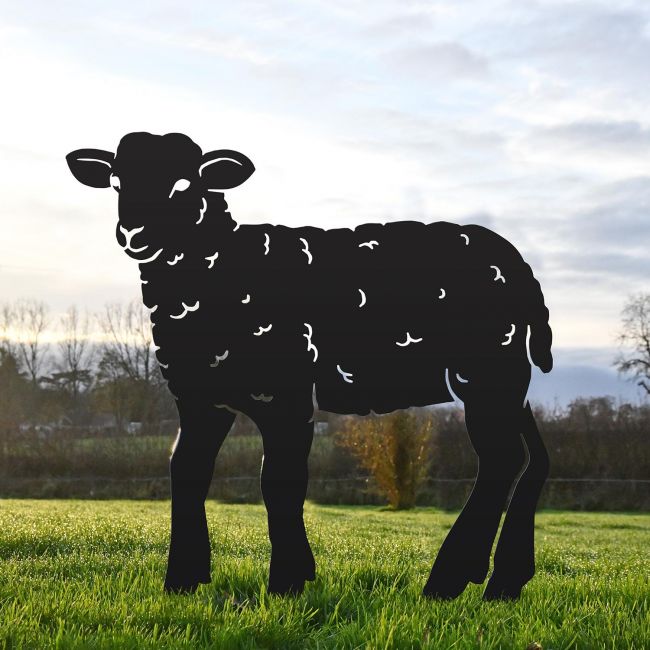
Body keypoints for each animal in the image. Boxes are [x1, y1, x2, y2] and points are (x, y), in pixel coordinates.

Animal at [66, 131, 553, 601]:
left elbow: (278, 480)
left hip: (489, 370)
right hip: (510, 379)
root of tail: (520, 266)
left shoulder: (286, 391)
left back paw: (448, 580)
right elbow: (185, 471)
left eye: (185, 184)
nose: (134, 234)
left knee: (501, 459)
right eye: (116, 183)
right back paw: (502, 581)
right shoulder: (201, 397)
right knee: (531, 457)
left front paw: (286, 581)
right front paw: (182, 581)